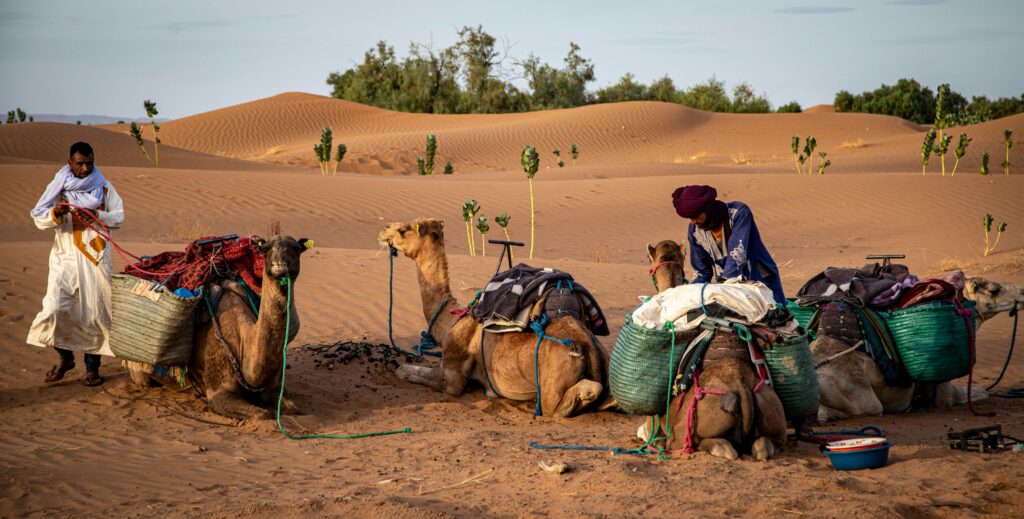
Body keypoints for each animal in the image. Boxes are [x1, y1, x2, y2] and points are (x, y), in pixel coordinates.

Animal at [128, 233, 309, 420]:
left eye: (296, 249)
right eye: (265, 249)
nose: (279, 265)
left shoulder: (273, 388)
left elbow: (294, 408)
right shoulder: (218, 392)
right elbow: (263, 414)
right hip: (139, 372)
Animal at [378, 218, 609, 418]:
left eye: (403, 229)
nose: (383, 231)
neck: (452, 319)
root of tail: (588, 344)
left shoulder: (452, 377)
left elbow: (403, 370)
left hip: (553, 391)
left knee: (566, 400)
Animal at [641, 240, 788, 460]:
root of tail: (741, 386)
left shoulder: (654, 425)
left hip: (683, 432)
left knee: (717, 447)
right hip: (774, 419)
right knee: (763, 446)